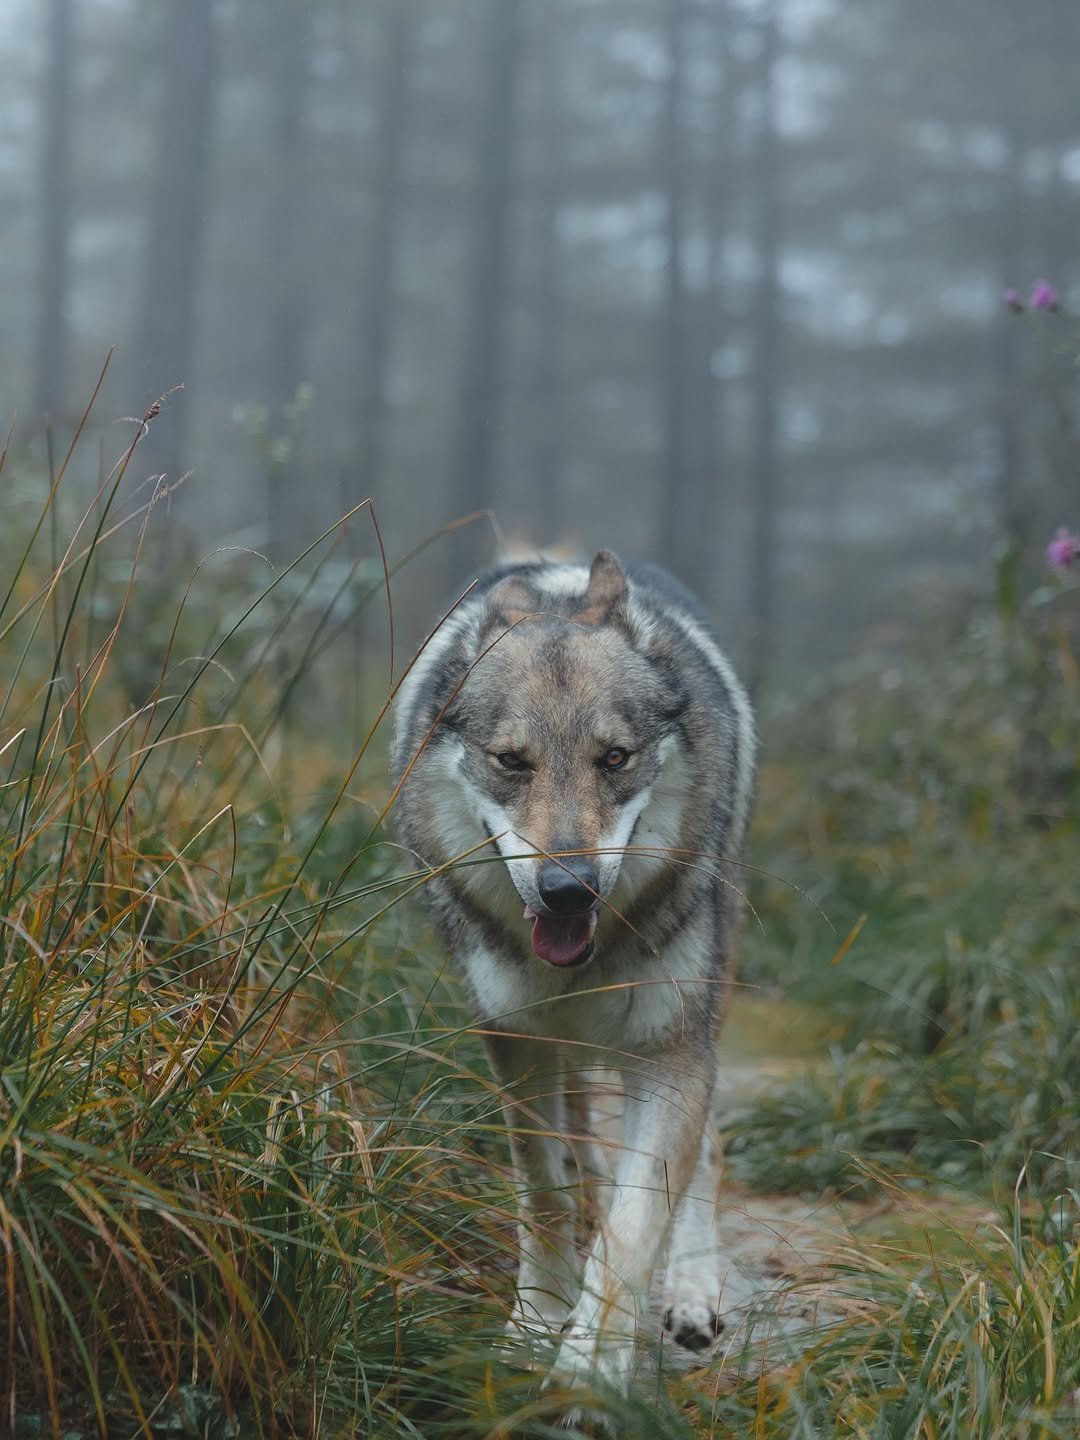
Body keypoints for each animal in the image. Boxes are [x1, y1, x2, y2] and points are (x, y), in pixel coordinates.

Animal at [392, 551, 756, 1401]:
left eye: (613, 758)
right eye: (511, 762)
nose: (568, 890)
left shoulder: (669, 1053)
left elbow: (632, 1224)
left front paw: (591, 1366)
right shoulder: (515, 1038)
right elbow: (544, 1192)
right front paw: (535, 1325)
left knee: (704, 1153)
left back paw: (693, 1291)